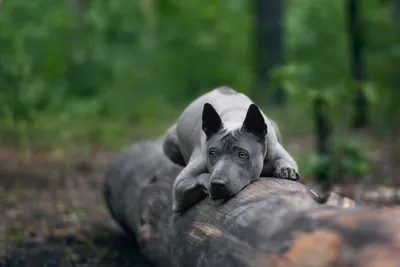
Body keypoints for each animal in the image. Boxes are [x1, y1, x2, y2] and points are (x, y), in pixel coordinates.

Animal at [162, 87, 300, 213]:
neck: (235, 119)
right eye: (212, 153)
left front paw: (286, 169)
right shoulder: (179, 186)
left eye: (242, 155)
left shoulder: (275, 148)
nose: (217, 184)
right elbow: (200, 176)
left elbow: (284, 160)